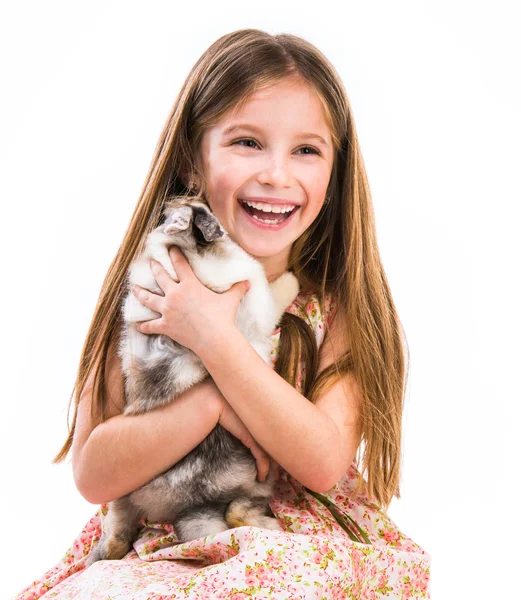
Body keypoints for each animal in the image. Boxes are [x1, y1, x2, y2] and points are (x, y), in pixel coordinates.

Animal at [87, 198, 298, 568]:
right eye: (204, 217)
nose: (220, 229)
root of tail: (193, 499)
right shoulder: (259, 308)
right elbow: (277, 295)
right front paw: (293, 280)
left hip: (122, 494)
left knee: (119, 530)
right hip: (259, 479)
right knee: (238, 514)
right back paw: (274, 526)